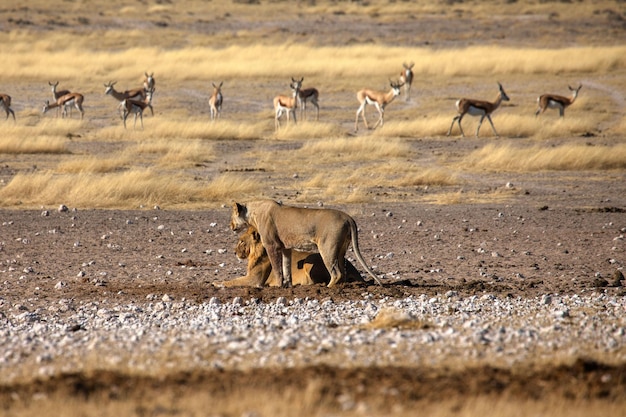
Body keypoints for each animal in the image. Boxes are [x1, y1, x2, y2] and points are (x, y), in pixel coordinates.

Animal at [214, 226, 360, 288]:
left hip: (309, 261)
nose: (234, 252)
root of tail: (353, 268)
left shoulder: (255, 280)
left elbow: (233, 281)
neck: (256, 254)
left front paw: (217, 283)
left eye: (242, 241)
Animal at [227, 198, 378, 286]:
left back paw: (328, 287)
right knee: (343, 271)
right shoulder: (285, 247)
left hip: (327, 248)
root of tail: (348, 217)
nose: (230, 225)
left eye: (241, 242)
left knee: (337, 273)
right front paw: (287, 286)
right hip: (341, 250)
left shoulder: (272, 246)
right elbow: (286, 268)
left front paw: (278, 286)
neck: (254, 214)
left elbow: (277, 269)